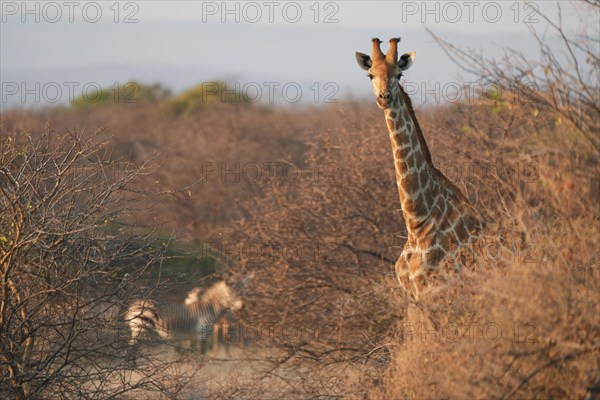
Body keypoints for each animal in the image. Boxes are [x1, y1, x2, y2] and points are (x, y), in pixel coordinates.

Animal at [356, 37, 482, 300]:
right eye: (370, 75)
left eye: (399, 74)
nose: (384, 97)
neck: (417, 222)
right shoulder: (412, 296)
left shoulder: (434, 291)